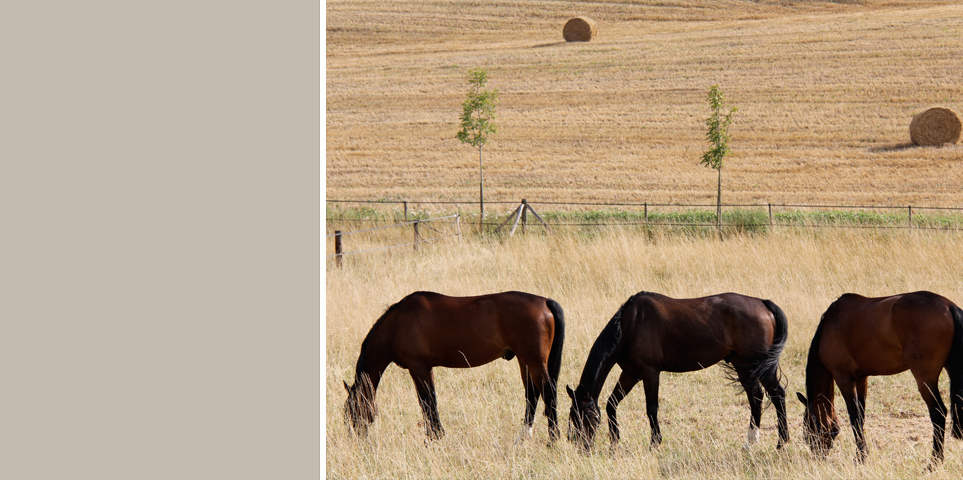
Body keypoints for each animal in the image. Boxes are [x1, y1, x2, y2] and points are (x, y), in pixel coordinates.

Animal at [342, 288, 564, 442]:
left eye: (352, 411)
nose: (357, 439)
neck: (396, 325)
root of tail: (545, 302)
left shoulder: (419, 368)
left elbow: (428, 402)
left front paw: (434, 437)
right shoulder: (424, 369)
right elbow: (429, 402)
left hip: (533, 361)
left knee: (548, 394)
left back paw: (553, 440)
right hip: (524, 360)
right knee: (532, 395)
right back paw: (523, 437)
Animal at [568, 290, 788, 452]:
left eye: (587, 417)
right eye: (572, 417)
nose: (582, 448)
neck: (630, 325)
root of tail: (762, 303)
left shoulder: (650, 373)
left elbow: (651, 409)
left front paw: (654, 443)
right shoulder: (631, 374)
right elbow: (611, 404)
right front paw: (615, 443)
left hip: (758, 366)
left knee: (777, 394)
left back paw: (781, 443)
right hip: (743, 365)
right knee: (756, 397)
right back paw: (750, 442)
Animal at [800, 290, 963, 464]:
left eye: (807, 430)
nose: (817, 456)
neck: (829, 326)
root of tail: (949, 306)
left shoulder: (844, 378)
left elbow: (854, 417)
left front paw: (860, 457)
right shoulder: (861, 379)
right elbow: (861, 416)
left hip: (925, 379)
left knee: (938, 413)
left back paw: (934, 462)